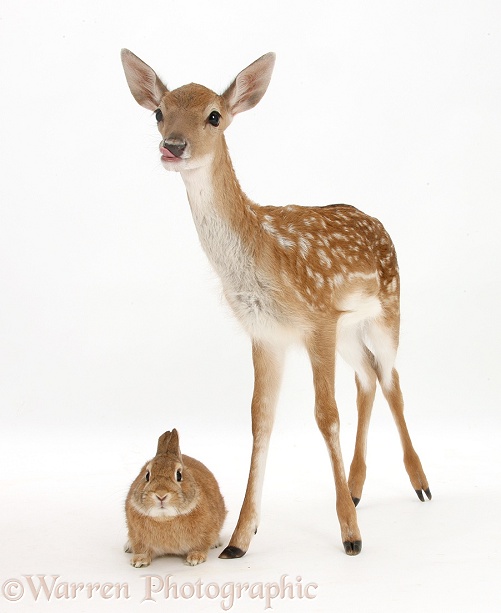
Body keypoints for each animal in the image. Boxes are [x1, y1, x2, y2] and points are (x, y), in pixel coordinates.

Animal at [125, 428, 227, 568]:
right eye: (147, 475)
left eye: (179, 475)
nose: (161, 495)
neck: (165, 518)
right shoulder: (137, 536)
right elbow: (141, 549)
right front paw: (139, 561)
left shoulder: (205, 533)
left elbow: (200, 546)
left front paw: (195, 558)